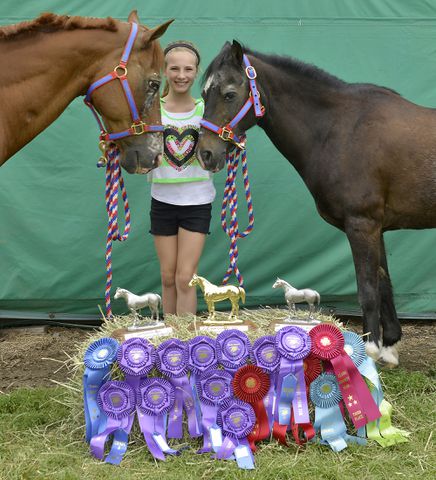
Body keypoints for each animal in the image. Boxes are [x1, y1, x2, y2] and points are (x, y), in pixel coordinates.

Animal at [198, 40, 436, 368]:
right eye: (204, 94)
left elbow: (368, 289)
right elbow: (383, 283)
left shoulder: (362, 224)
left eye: (229, 94)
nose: (205, 153)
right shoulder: (377, 227)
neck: (340, 130)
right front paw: (389, 346)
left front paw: (369, 351)